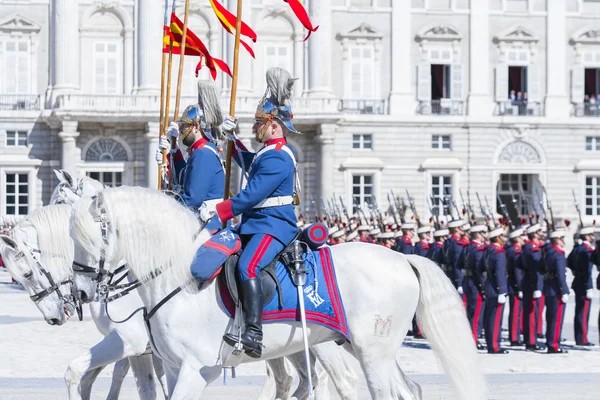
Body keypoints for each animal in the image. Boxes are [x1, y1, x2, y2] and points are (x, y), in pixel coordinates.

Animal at [68, 188, 486, 400]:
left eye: (92, 235)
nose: (82, 290)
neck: (179, 277)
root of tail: (402, 258)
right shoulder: (170, 366)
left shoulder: (197, 368)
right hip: (363, 348)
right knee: (407, 391)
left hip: (371, 354)